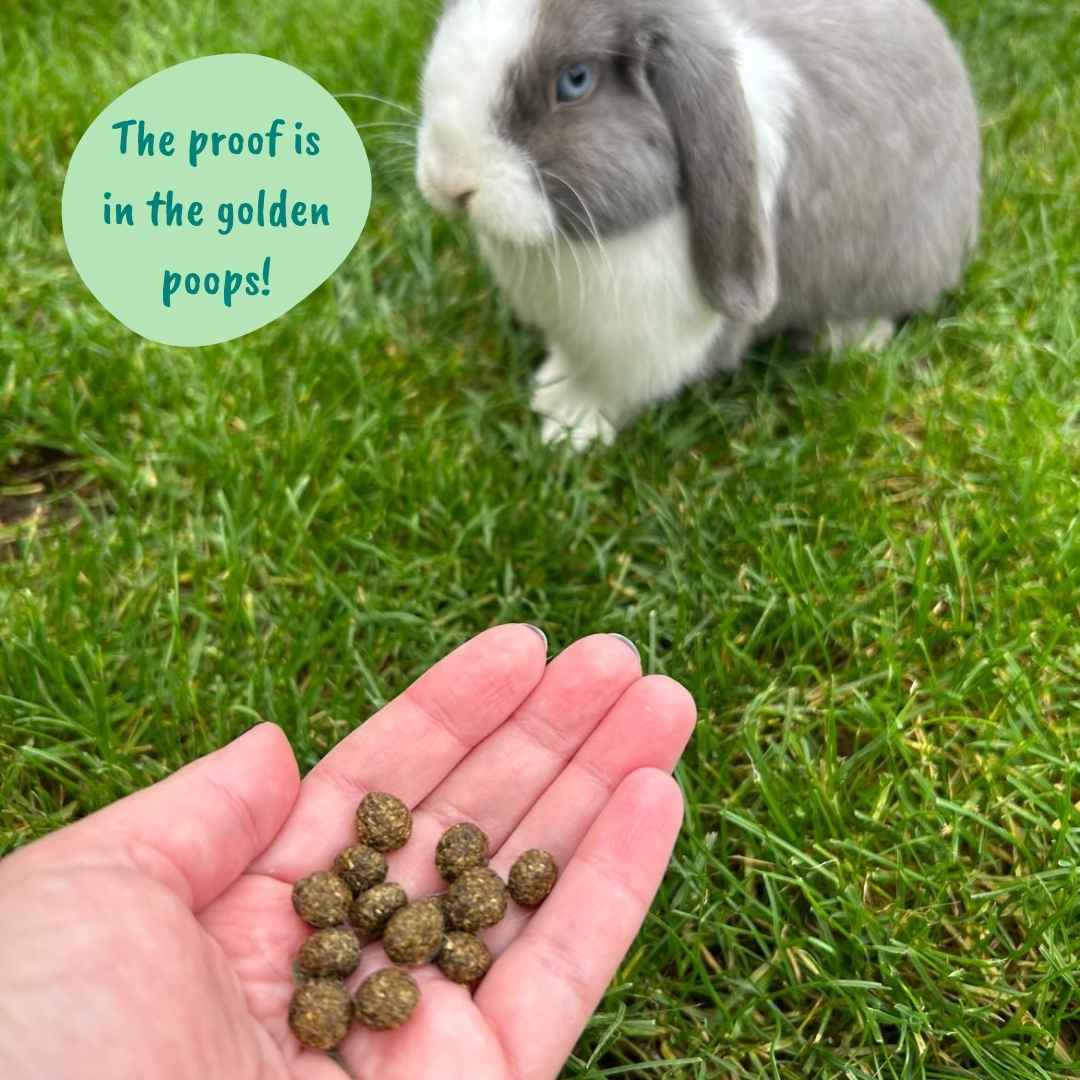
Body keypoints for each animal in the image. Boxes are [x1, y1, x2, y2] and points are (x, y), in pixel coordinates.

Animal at [416, 0, 981, 448]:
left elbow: (608, 388)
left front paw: (569, 427)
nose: (450, 183)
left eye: (574, 81)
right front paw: (550, 389)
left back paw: (848, 339)